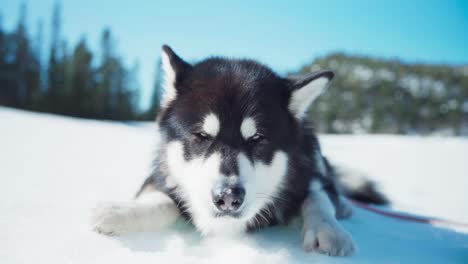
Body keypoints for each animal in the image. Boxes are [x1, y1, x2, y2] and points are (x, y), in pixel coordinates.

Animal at [92, 44, 388, 256]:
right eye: (201, 136)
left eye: (257, 138)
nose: (228, 197)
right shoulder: (163, 174)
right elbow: (162, 199)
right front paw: (124, 211)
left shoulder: (308, 172)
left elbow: (317, 196)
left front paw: (328, 229)